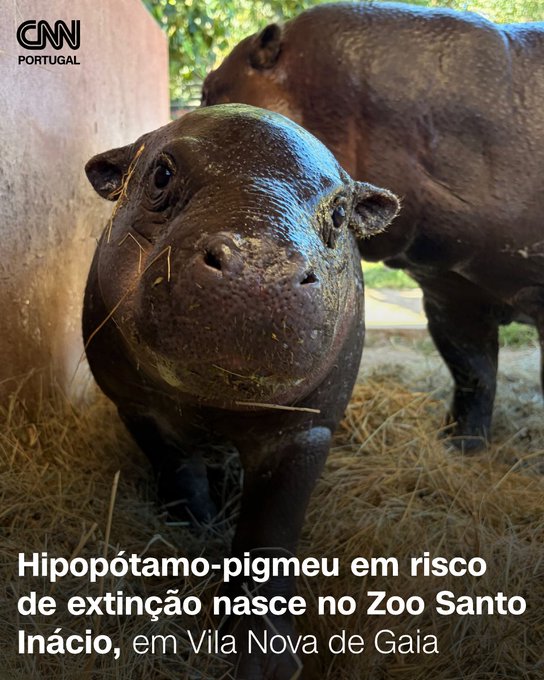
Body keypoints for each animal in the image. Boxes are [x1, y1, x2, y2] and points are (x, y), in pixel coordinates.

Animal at [83, 104, 399, 678]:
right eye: (160, 174)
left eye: (341, 212)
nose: (260, 265)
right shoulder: (136, 405)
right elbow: (177, 466)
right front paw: (197, 526)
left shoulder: (307, 429)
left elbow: (270, 526)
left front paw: (266, 658)